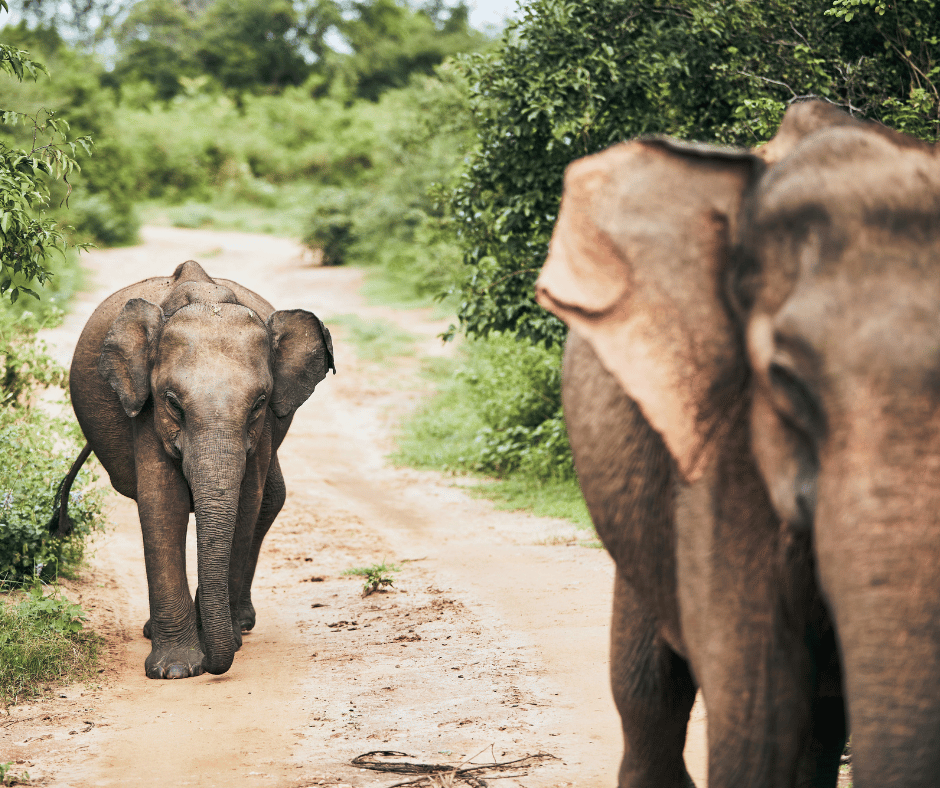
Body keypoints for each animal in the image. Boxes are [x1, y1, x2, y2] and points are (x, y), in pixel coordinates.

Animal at [52, 258, 334, 676]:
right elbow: (162, 502)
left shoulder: (265, 426)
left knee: (271, 500)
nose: (215, 663)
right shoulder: (146, 410)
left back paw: (240, 625)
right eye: (172, 402)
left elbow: (246, 503)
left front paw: (222, 644)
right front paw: (177, 669)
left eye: (259, 403)